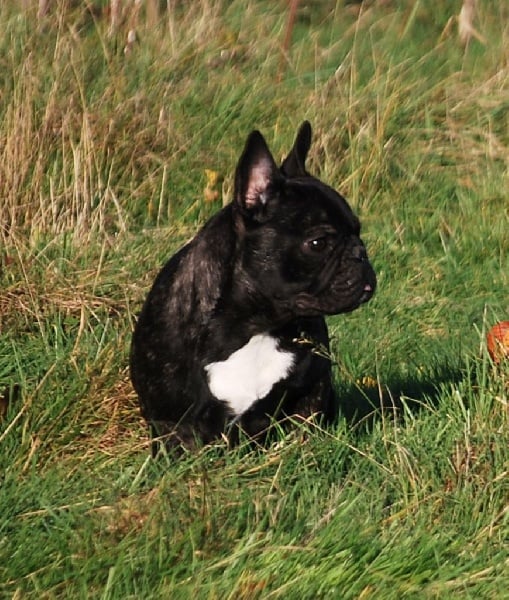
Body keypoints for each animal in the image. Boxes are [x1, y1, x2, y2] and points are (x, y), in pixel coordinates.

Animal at [129, 119, 376, 452]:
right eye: (318, 243)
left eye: (358, 231)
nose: (360, 254)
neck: (254, 324)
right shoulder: (172, 421)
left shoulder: (310, 393)